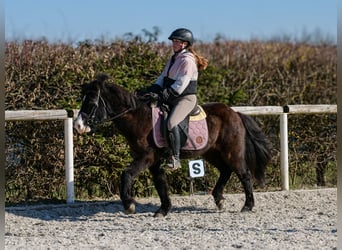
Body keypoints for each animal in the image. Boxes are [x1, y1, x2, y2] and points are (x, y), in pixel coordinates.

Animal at [74, 74, 270, 217]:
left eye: (91, 102)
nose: (78, 126)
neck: (139, 118)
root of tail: (235, 113)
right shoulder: (154, 161)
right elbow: (160, 183)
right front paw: (163, 209)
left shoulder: (147, 157)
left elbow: (127, 174)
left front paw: (129, 205)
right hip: (212, 153)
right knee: (226, 171)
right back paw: (219, 199)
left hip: (232, 152)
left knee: (244, 174)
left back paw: (247, 205)